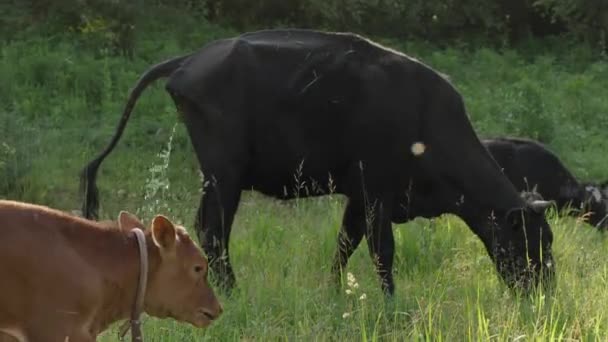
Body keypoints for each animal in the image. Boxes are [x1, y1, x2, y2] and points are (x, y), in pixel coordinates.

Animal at [81, 28, 556, 296]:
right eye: (535, 242)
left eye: (548, 240)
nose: (544, 292)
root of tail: (190, 59)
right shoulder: (377, 192)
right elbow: (383, 252)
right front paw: (391, 306)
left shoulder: (358, 198)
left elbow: (345, 244)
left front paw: (333, 292)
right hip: (224, 173)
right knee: (213, 231)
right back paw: (231, 292)